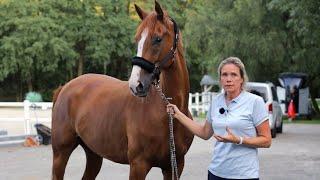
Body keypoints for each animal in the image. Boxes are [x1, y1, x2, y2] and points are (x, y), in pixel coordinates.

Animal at [51, 1, 194, 180]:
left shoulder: (175, 166)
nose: (136, 85)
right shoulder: (138, 165)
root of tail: (65, 87)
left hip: (93, 153)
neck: (167, 115)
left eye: (157, 39)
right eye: (137, 39)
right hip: (60, 153)